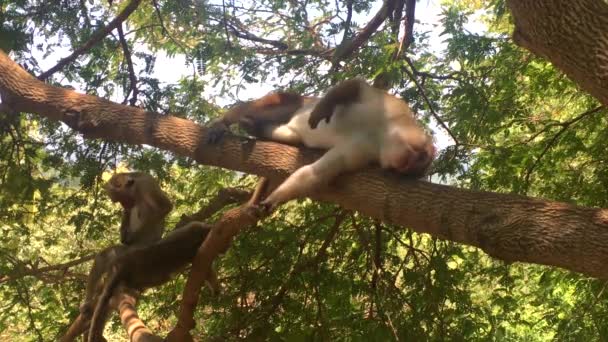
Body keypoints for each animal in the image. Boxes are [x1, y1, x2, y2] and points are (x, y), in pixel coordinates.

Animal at [207, 78, 434, 210]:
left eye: (409, 172)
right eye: (419, 157)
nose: (406, 165)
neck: (381, 135)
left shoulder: (363, 154)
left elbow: (317, 172)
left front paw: (276, 198)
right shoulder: (391, 106)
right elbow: (355, 86)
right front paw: (322, 109)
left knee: (292, 135)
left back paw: (256, 129)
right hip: (290, 100)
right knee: (260, 106)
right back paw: (225, 122)